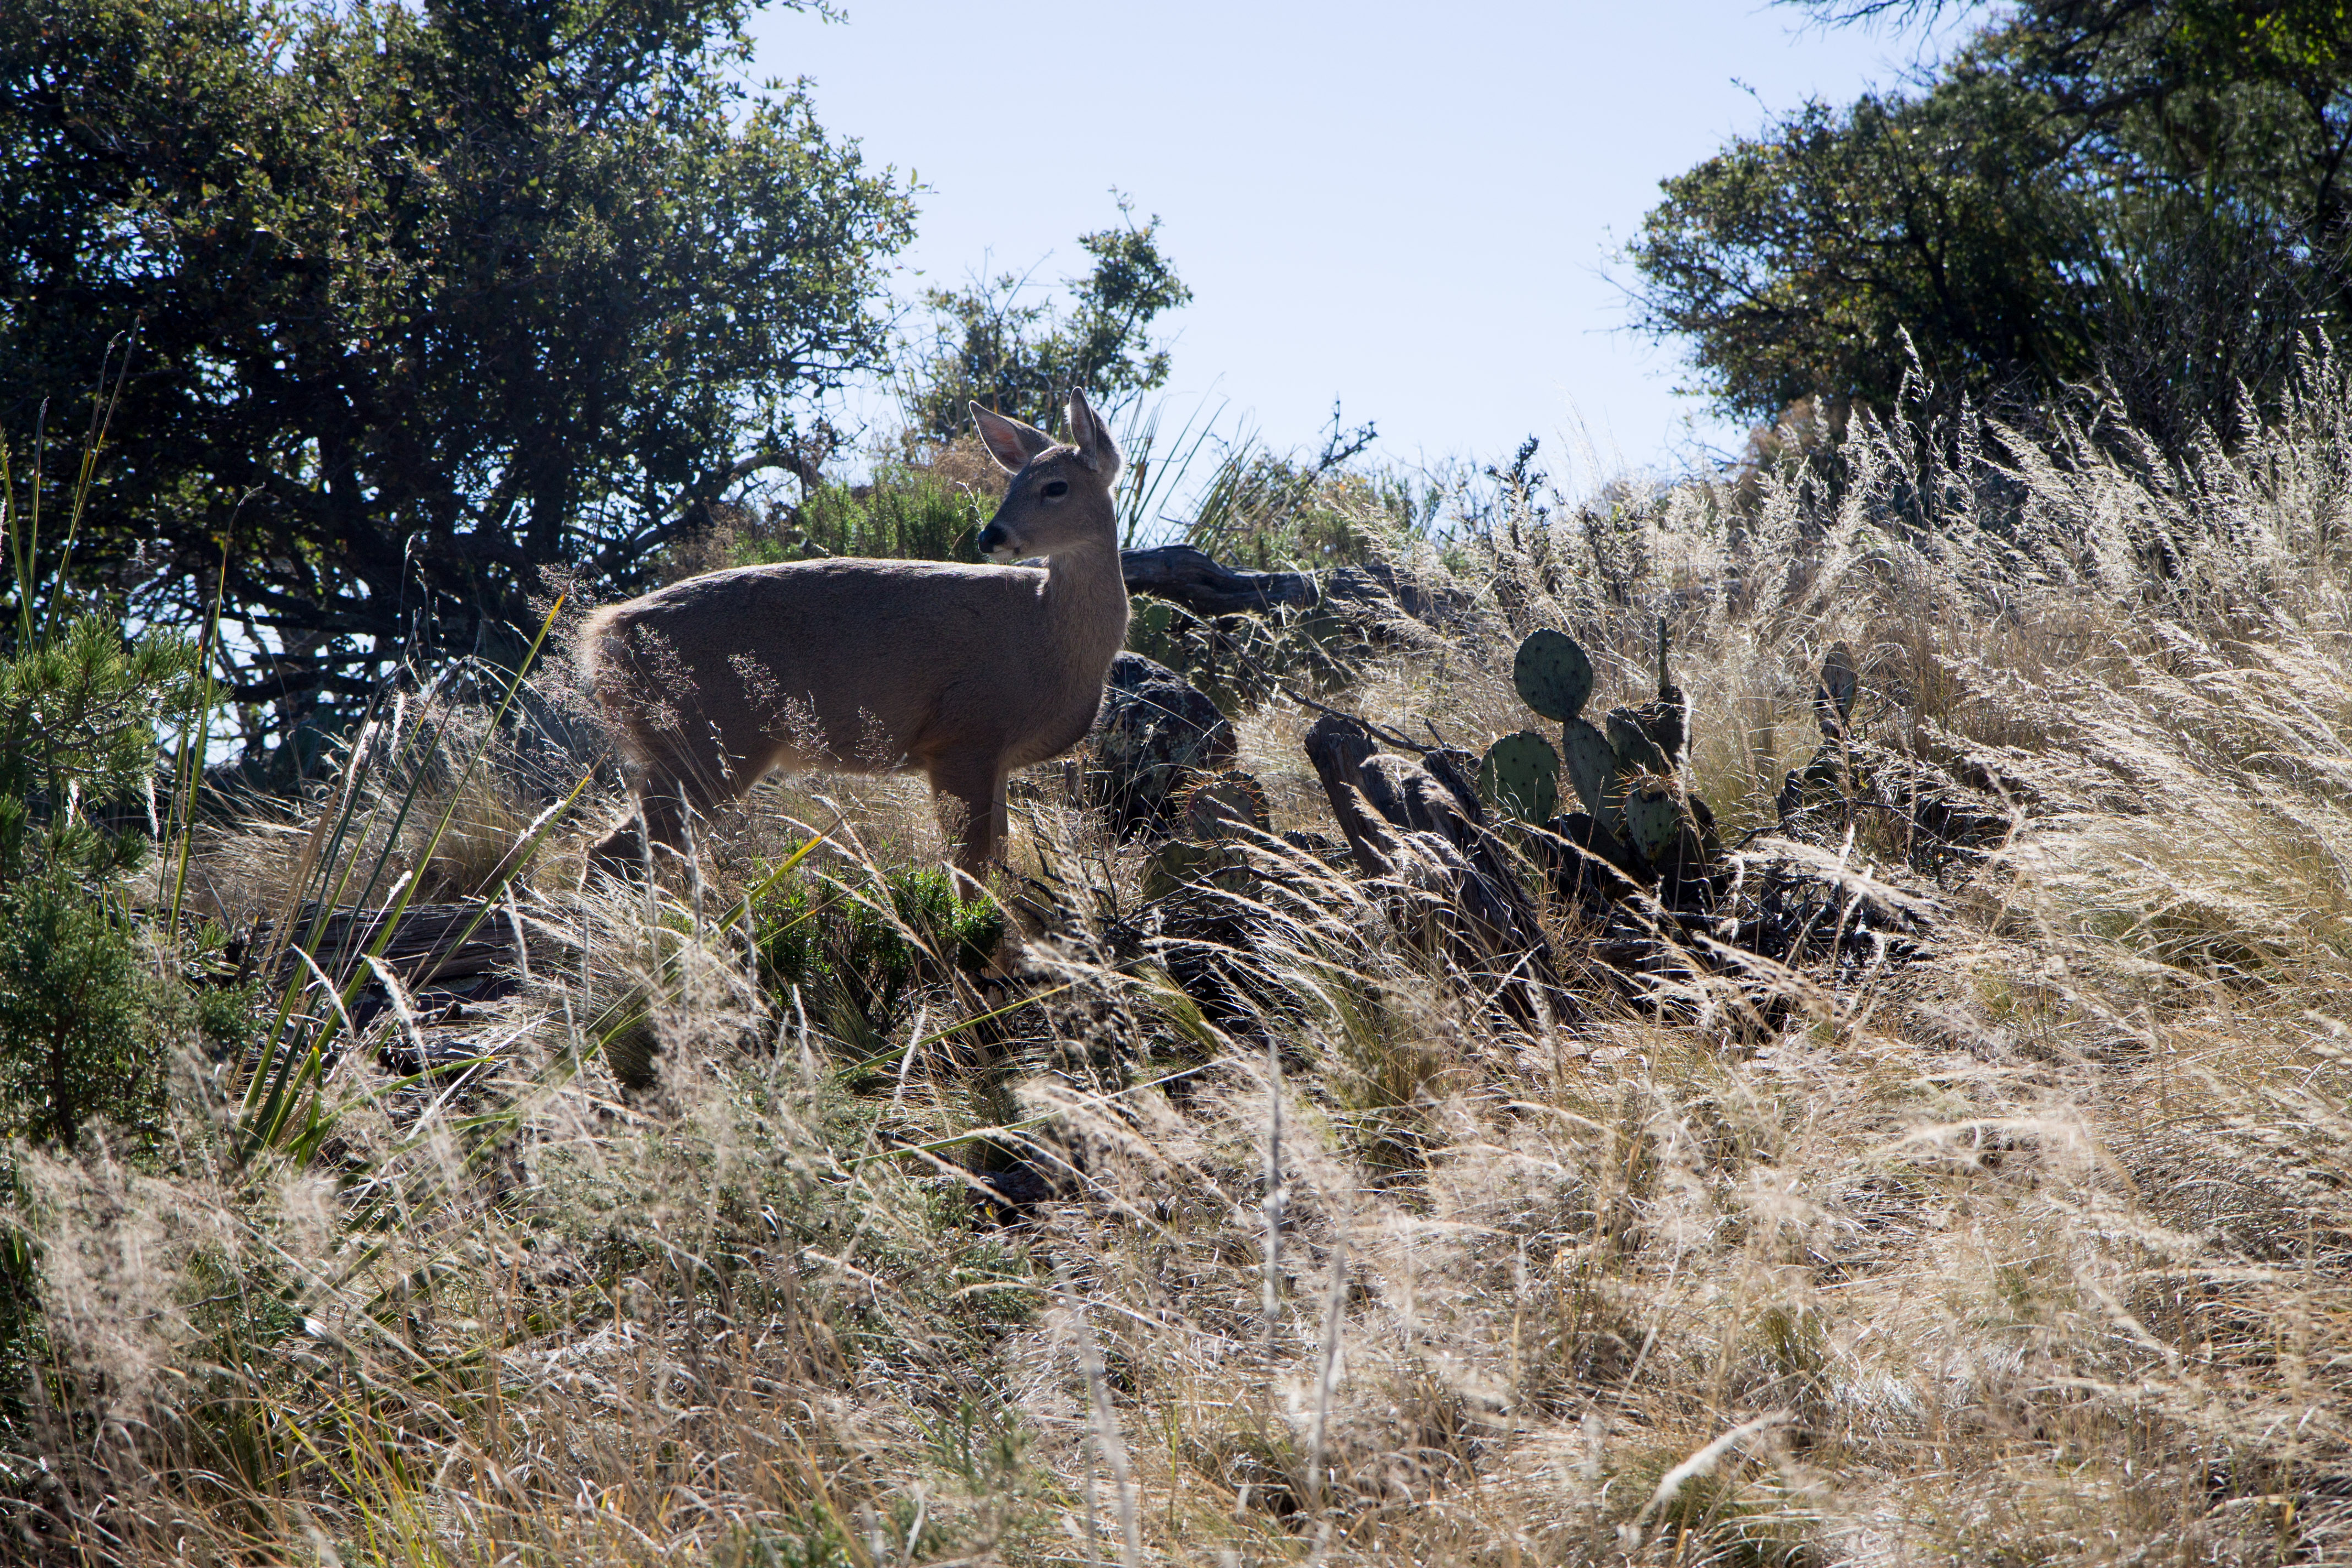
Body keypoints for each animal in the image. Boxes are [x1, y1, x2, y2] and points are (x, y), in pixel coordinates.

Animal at [578, 389, 1130, 886]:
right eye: (1014, 483)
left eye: (1055, 487)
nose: (989, 536)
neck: (1049, 637)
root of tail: (605, 633)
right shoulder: (964, 733)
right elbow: (970, 871)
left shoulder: (996, 758)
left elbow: (1000, 860)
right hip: (706, 735)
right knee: (614, 853)